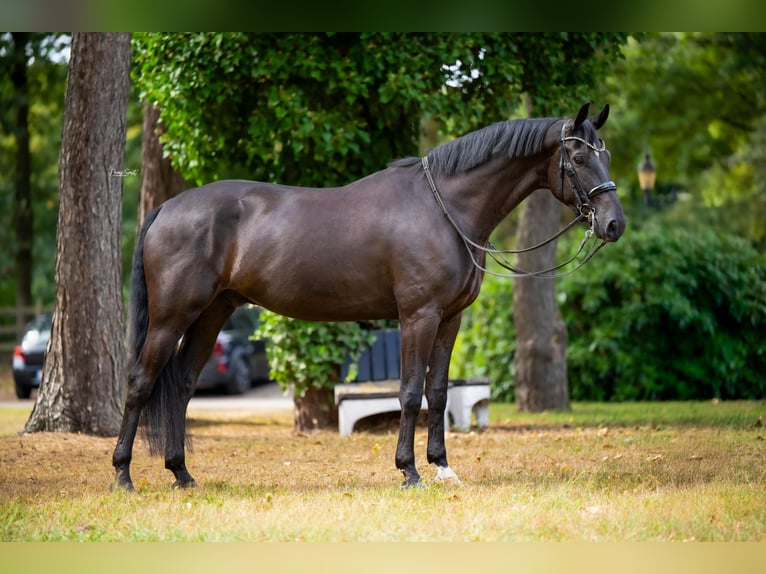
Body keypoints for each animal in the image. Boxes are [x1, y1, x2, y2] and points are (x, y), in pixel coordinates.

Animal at [111, 102, 626, 490]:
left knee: (181, 384)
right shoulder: (418, 316)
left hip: (211, 313)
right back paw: (123, 476)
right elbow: (410, 393)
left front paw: (443, 468)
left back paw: (181, 474)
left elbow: (438, 392)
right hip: (172, 317)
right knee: (140, 382)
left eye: (607, 155)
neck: (445, 209)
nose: (613, 224)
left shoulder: (451, 319)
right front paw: (409, 471)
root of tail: (167, 208)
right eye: (579, 158)